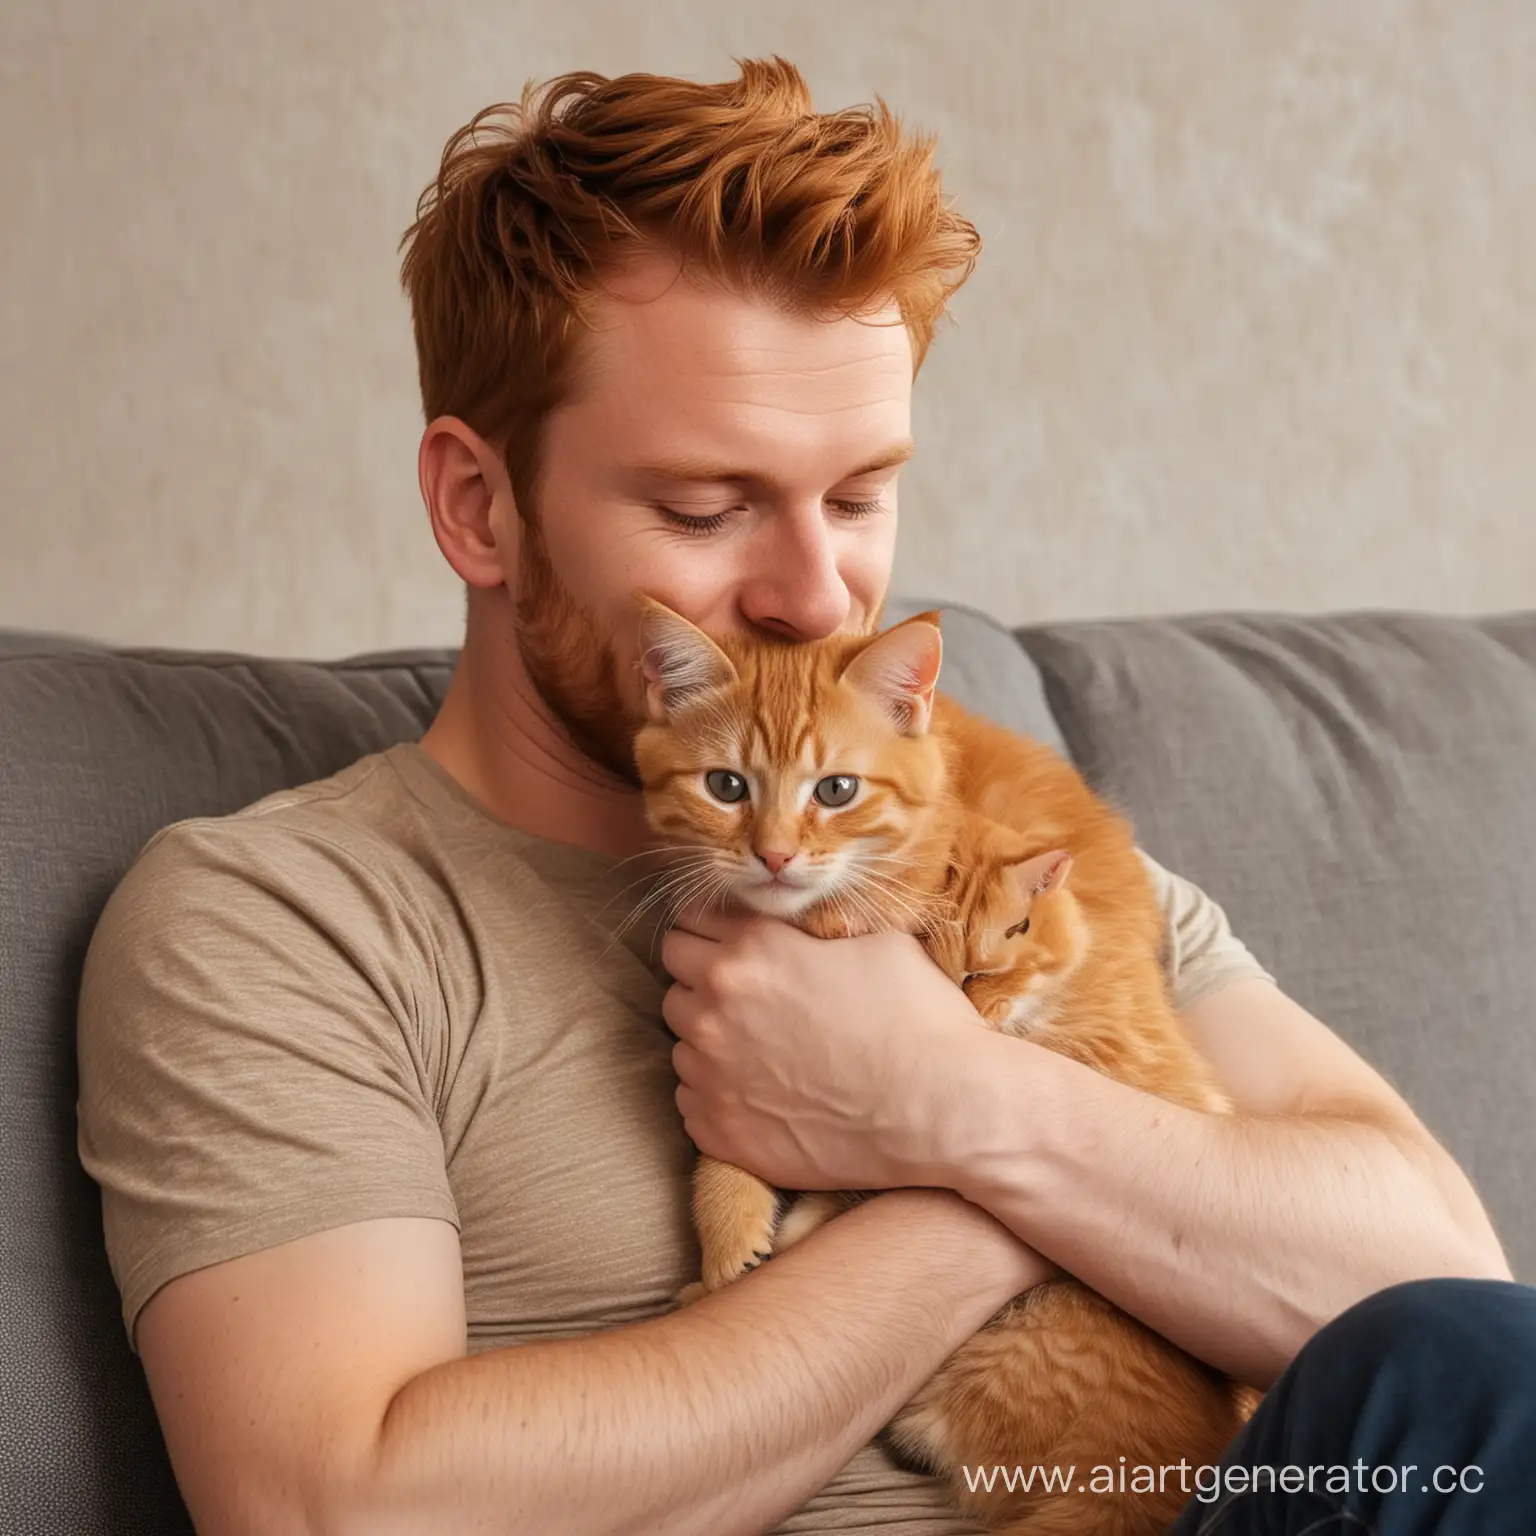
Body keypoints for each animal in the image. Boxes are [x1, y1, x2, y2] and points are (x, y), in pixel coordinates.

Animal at [629, 599, 1253, 1536]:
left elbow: (855, 1184)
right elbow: (723, 1157)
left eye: (835, 790)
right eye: (726, 787)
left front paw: (757, 1249)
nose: (774, 856)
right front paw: (730, 1241)